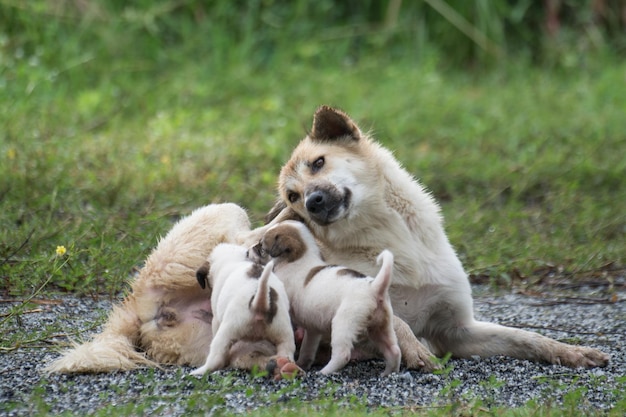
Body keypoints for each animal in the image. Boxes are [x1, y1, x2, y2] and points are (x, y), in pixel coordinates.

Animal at [190, 242, 294, 376]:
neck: (233, 259)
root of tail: (260, 304)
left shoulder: (216, 320)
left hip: (228, 330)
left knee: (217, 358)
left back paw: (199, 371)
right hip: (283, 334)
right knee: (286, 352)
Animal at [258, 219, 400, 376]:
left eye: (264, 244)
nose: (257, 244)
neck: (299, 259)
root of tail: (374, 287)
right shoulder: (313, 330)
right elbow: (307, 350)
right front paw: (302, 364)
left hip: (343, 324)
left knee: (343, 354)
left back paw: (324, 372)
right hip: (380, 327)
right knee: (394, 350)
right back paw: (388, 373)